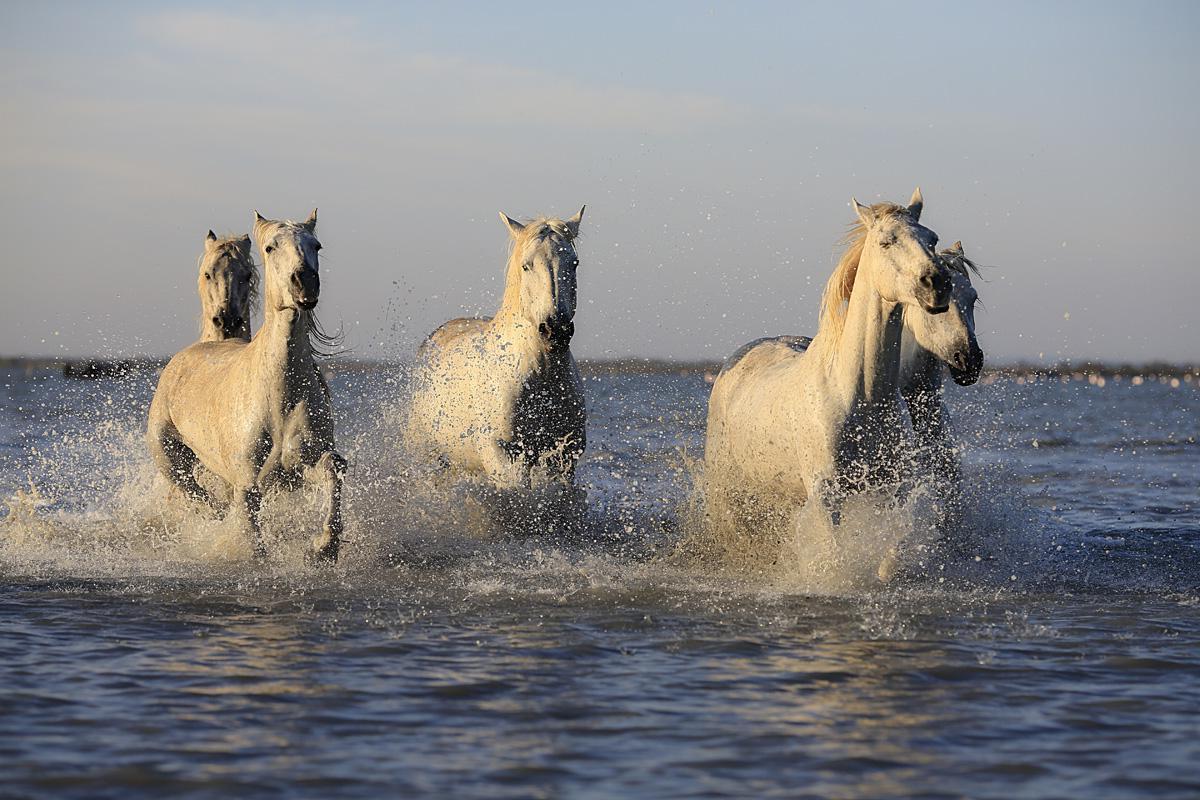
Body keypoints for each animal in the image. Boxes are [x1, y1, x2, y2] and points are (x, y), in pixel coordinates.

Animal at [147, 210, 346, 562]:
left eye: (317, 246)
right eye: (270, 247)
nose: (305, 282)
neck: (278, 393)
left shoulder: (297, 468)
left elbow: (333, 468)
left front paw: (324, 546)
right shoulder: (247, 482)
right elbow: (251, 533)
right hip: (171, 460)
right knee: (197, 496)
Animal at [406, 208, 587, 517]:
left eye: (573, 263)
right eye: (526, 266)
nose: (556, 330)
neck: (540, 376)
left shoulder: (563, 457)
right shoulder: (505, 455)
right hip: (431, 458)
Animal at [703, 189, 960, 540]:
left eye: (932, 238)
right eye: (886, 241)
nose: (937, 284)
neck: (861, 395)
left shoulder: (891, 490)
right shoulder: (827, 497)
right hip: (725, 487)